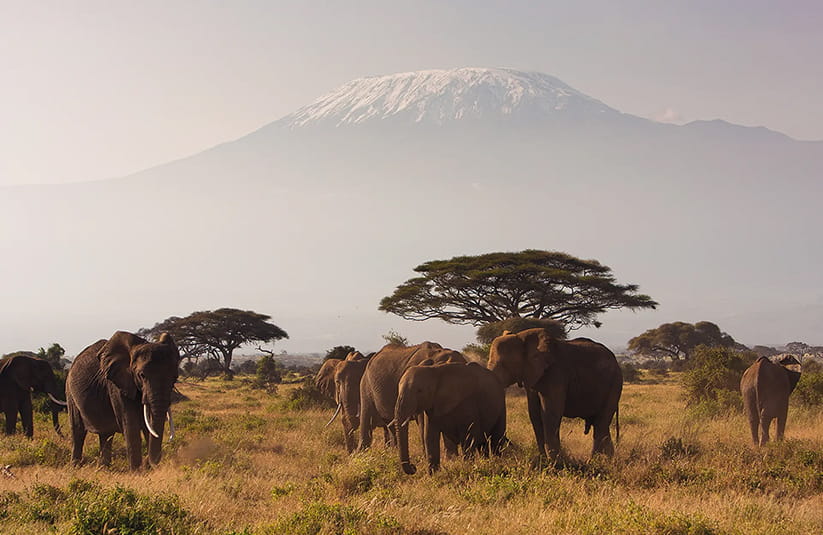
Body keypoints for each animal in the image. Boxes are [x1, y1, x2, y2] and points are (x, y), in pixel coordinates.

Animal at [66, 331, 180, 470]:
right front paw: (137, 471)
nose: (149, 463)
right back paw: (75, 467)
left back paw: (104, 468)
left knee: (106, 434)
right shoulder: (116, 384)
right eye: (142, 375)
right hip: (70, 392)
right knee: (78, 431)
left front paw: (147, 469)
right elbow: (130, 424)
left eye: (175, 377)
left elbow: (147, 425)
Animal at [487, 328, 622, 460]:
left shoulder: (555, 374)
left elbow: (550, 413)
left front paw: (555, 462)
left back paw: (598, 461)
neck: (521, 336)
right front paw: (544, 460)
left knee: (601, 424)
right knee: (599, 424)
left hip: (614, 384)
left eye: (503, 365)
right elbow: (534, 414)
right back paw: (603, 460)